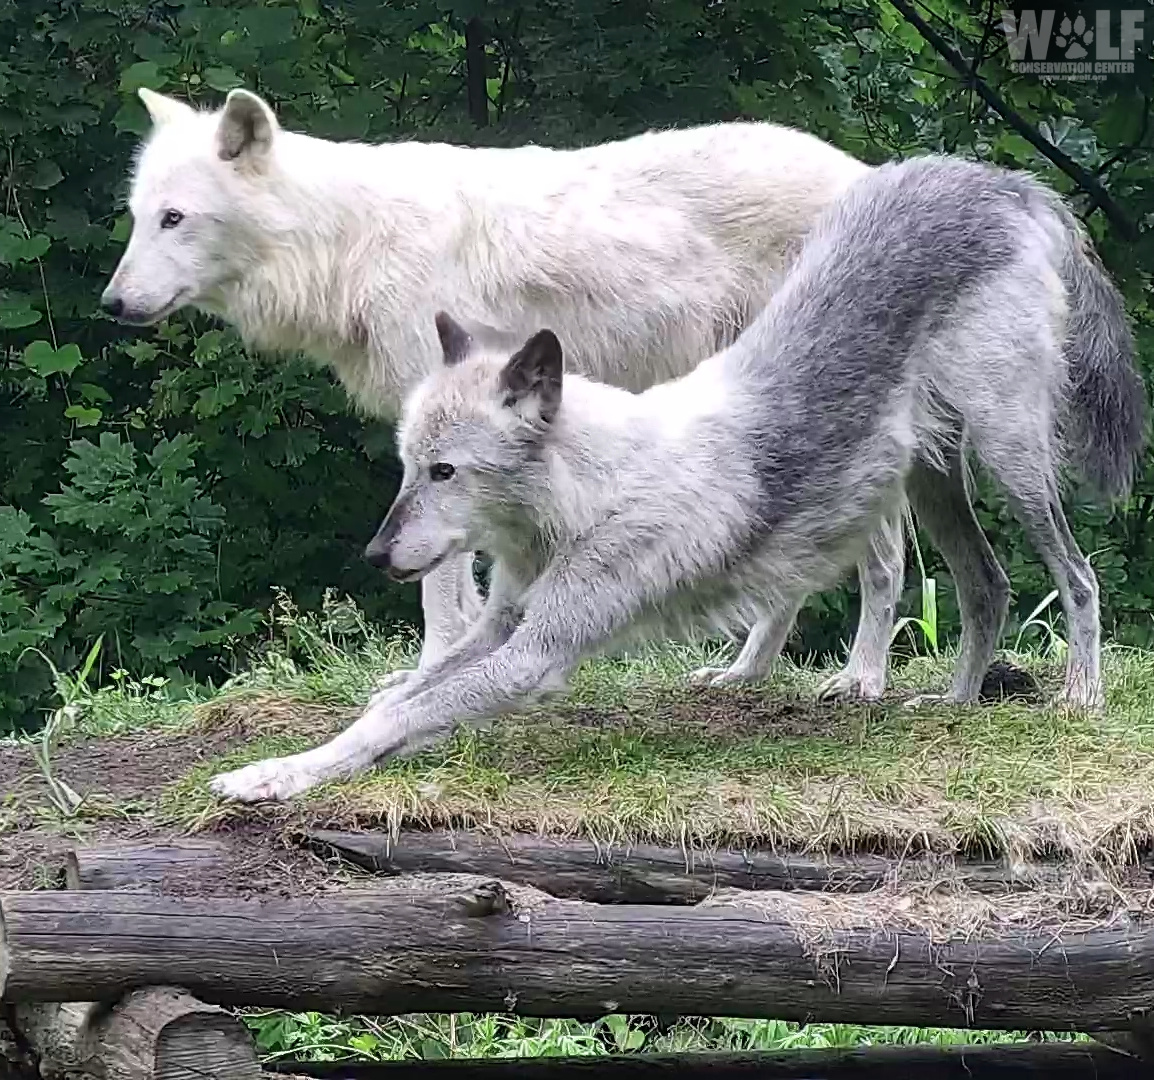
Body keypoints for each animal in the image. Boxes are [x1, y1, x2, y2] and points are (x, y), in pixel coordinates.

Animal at [99, 87, 919, 702]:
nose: (111, 304)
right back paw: (745, 671)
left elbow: (438, 589)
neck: (348, 245)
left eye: (175, 218)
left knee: (885, 559)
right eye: (138, 218)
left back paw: (862, 678)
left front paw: (430, 671)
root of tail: (864, 172)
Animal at [208, 154, 1147, 804]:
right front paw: (301, 756)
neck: (585, 501)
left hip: (1010, 461)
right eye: (408, 467)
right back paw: (951, 703)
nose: (373, 558)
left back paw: (1080, 695)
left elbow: (402, 714)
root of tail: (1000, 181)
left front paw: (270, 778)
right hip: (932, 485)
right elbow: (390, 704)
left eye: (446, 471)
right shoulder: (503, 623)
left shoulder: (535, 655)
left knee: (1078, 575)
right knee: (988, 586)